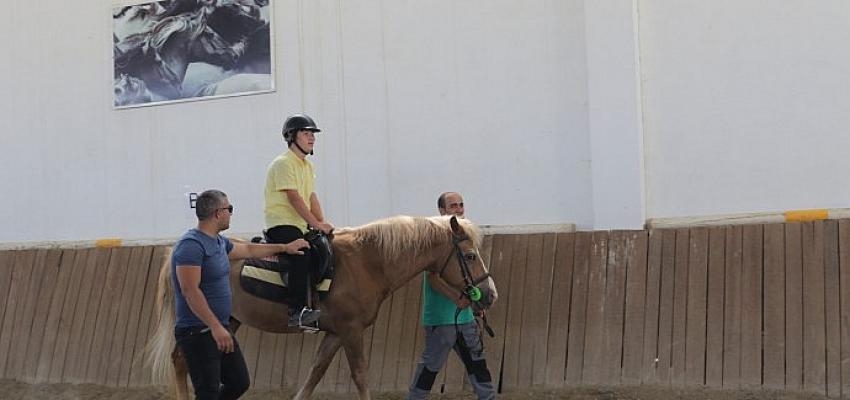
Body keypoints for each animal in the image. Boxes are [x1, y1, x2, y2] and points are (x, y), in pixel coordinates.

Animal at [147, 216, 496, 400]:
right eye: (469, 256)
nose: (489, 295)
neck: (367, 262)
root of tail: (179, 253)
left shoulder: (335, 333)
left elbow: (315, 373)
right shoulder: (351, 332)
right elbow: (360, 375)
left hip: (228, 321)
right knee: (181, 360)